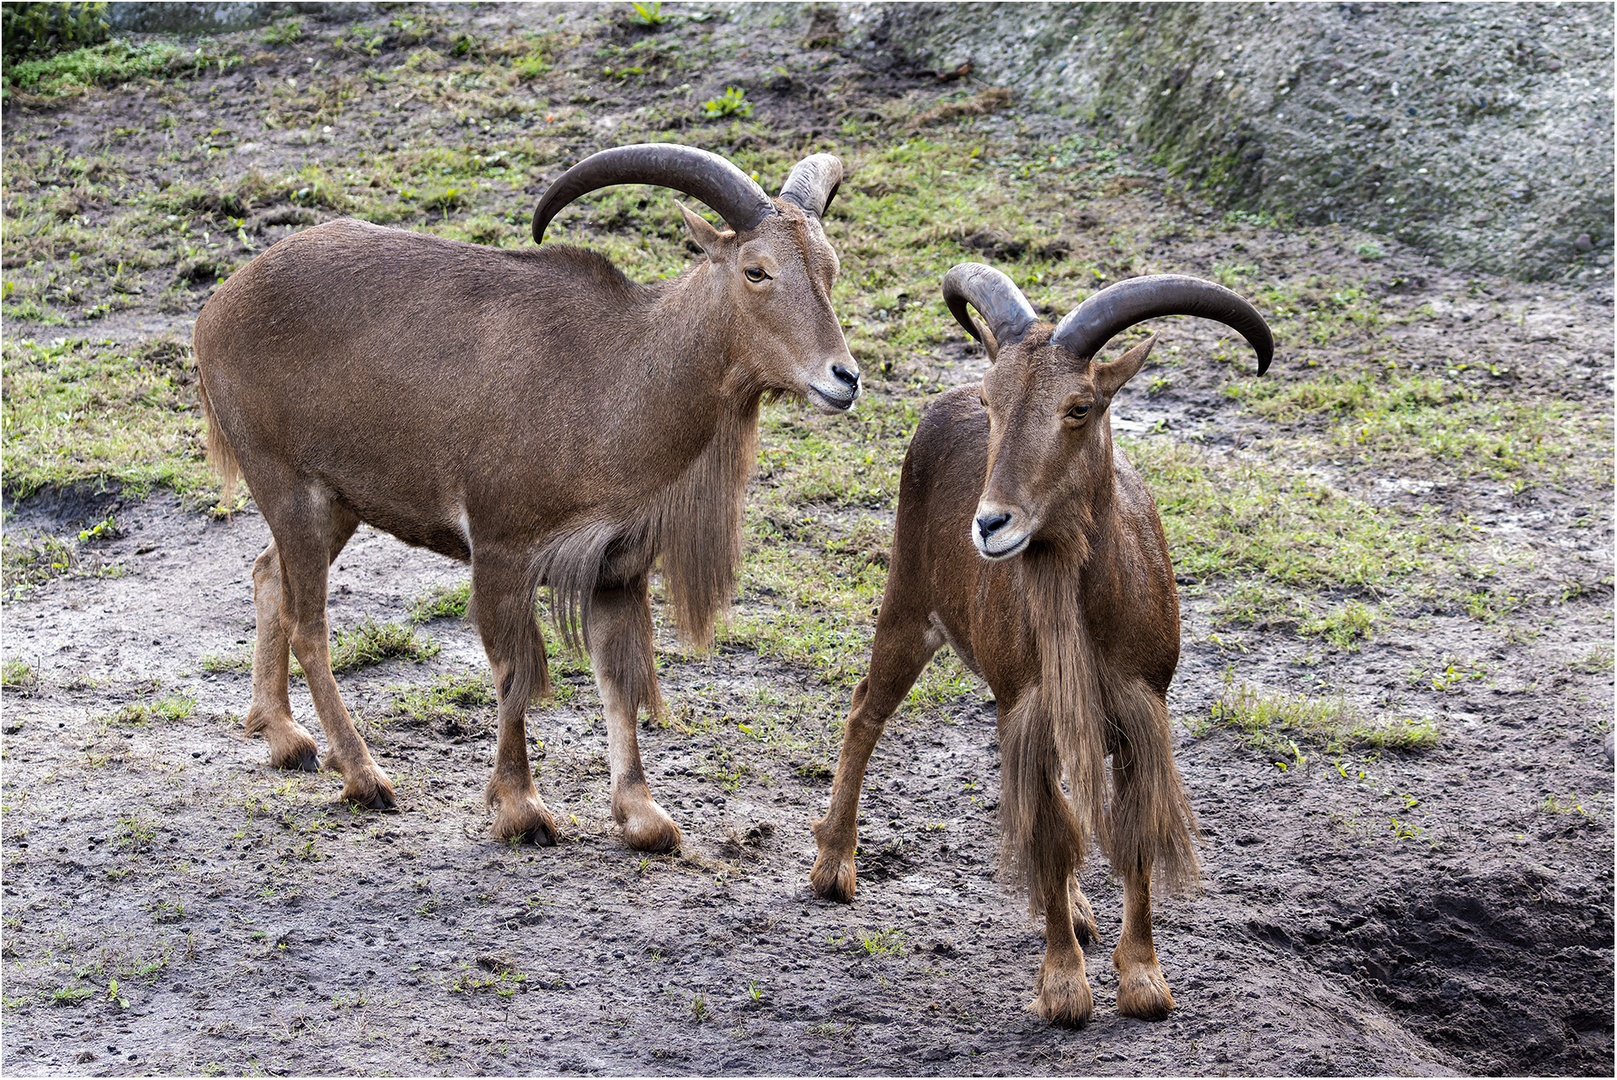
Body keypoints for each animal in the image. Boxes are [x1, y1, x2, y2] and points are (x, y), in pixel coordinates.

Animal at [192, 145, 860, 853]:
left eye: (830, 269)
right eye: (757, 270)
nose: (843, 379)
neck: (618, 376)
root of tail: (219, 307)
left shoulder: (615, 570)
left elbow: (620, 678)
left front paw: (643, 815)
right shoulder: (502, 549)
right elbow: (513, 672)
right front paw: (522, 808)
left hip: (340, 502)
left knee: (268, 574)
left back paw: (283, 736)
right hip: (286, 484)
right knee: (308, 623)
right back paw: (363, 774)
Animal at [814, 265, 1267, 1028]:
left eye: (1079, 406)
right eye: (993, 401)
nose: (991, 524)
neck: (1084, 612)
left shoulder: (1141, 709)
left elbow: (1130, 835)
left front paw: (1143, 981)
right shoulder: (1023, 707)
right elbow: (1049, 838)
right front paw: (1064, 987)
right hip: (907, 605)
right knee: (864, 710)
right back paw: (833, 866)